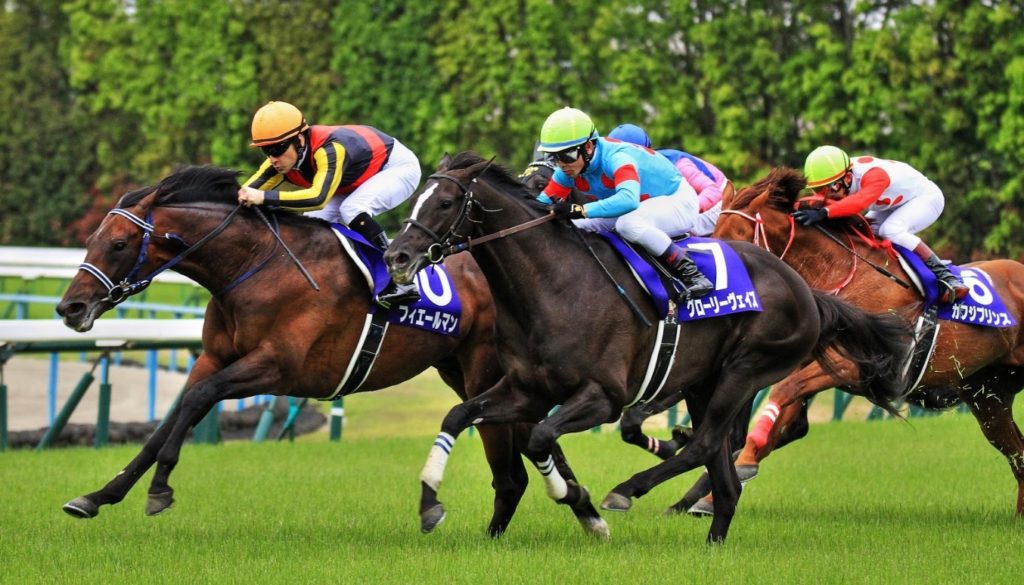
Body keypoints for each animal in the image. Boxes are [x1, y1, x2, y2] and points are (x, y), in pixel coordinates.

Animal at [56, 163, 598, 536]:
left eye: (120, 244)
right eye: (93, 237)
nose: (69, 307)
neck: (253, 266)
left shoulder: (277, 368)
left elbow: (197, 401)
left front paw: (160, 489)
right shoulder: (213, 358)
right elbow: (172, 416)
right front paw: (98, 495)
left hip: (482, 368)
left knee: (511, 464)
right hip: (461, 371)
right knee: (528, 438)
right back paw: (584, 507)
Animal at [385, 152, 913, 545]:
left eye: (446, 200)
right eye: (420, 196)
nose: (397, 255)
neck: (553, 285)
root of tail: (807, 291)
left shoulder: (602, 397)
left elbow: (539, 439)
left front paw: (579, 504)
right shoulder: (525, 389)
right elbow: (458, 416)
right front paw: (430, 505)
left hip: (745, 369)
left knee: (706, 443)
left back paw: (627, 489)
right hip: (705, 381)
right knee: (722, 470)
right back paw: (712, 541)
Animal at [708, 166, 1024, 514]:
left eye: (738, 233)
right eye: (714, 233)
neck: (843, 275)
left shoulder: (857, 366)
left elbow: (784, 391)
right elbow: (782, 416)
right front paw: (721, 485)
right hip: (988, 395)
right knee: (1017, 454)